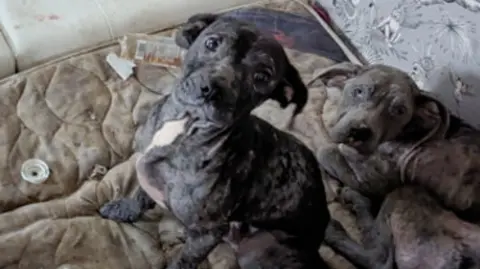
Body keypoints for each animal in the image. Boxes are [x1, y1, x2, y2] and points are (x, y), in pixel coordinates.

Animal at [97, 14, 330, 268]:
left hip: (256, 249)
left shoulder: (207, 234)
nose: (211, 90)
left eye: (262, 77)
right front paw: (124, 210)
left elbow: (184, 260)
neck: (185, 127)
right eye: (211, 43)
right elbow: (140, 196)